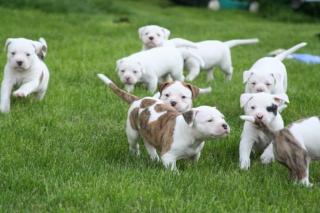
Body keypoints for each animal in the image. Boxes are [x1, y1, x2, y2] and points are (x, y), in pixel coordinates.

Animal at [97, 74, 230, 171]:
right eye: (209, 120)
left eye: (223, 118)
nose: (225, 125)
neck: (191, 135)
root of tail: (138, 100)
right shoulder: (168, 157)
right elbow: (173, 170)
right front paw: (178, 177)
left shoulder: (195, 154)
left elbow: (193, 162)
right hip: (132, 131)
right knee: (134, 145)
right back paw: (136, 156)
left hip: (148, 132)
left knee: (149, 145)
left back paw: (154, 158)